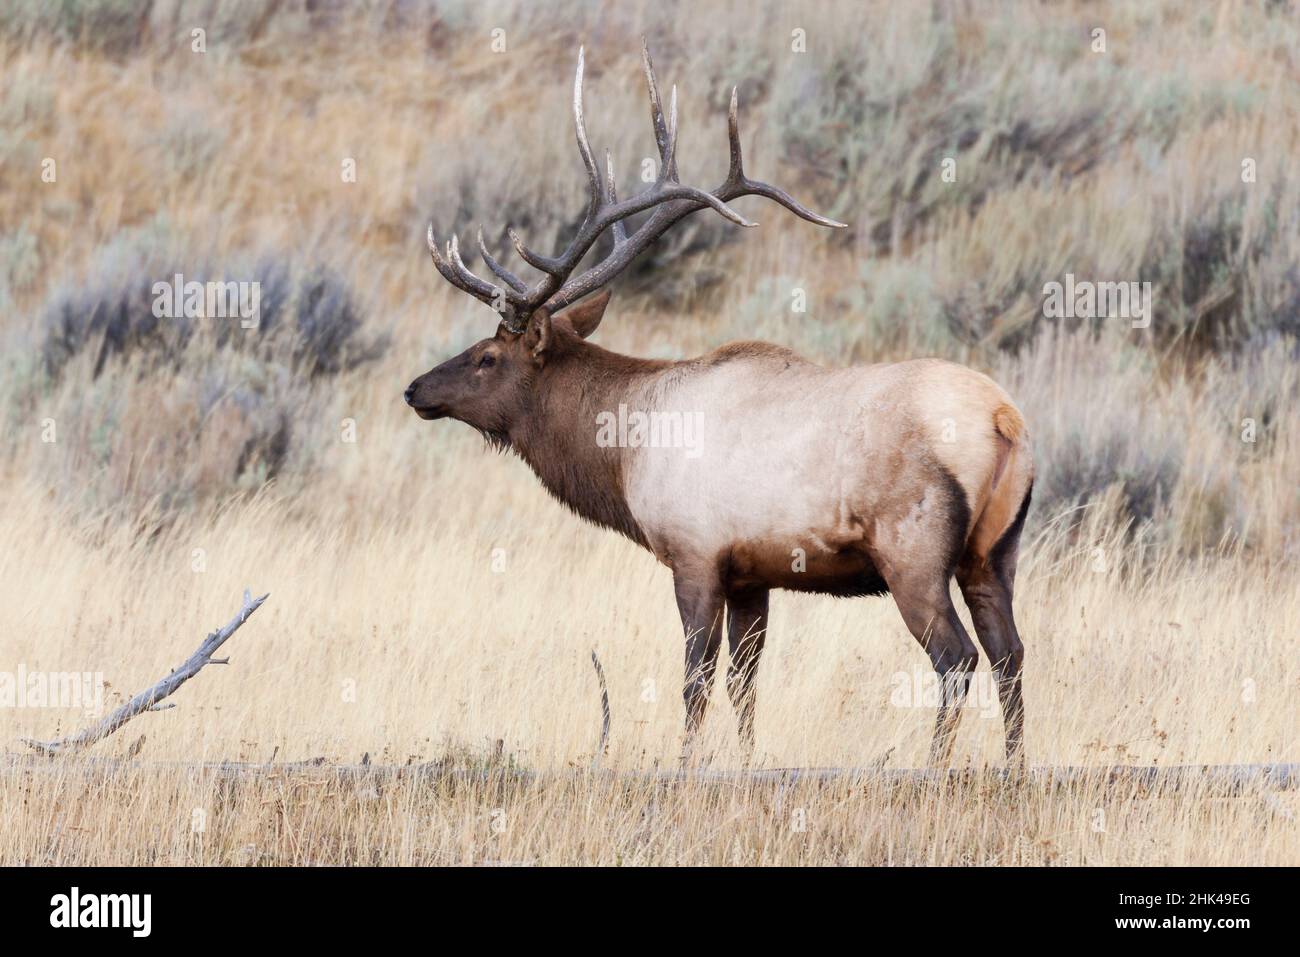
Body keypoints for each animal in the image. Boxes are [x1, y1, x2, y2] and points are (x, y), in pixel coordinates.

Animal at [405, 44, 1035, 766]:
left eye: (487, 355)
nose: (415, 389)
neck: (625, 450)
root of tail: (1004, 420)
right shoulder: (751, 574)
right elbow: (745, 683)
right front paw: (745, 760)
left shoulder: (695, 555)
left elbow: (696, 680)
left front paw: (686, 764)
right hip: (995, 552)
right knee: (1011, 654)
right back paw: (1014, 768)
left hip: (914, 552)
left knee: (956, 658)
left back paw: (933, 766)